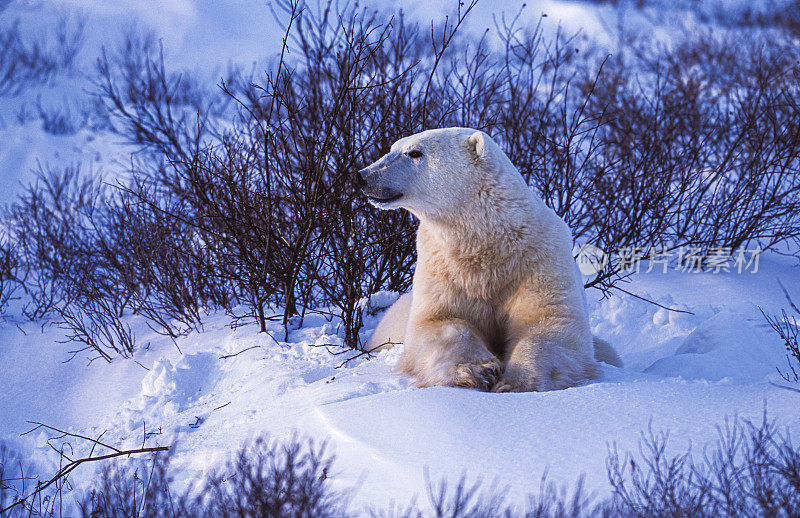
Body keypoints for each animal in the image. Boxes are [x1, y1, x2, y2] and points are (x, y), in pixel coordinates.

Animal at [354, 128, 620, 392]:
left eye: (414, 152)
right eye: (392, 147)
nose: (363, 176)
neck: (488, 243)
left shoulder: (539, 261)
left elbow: (550, 323)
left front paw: (514, 382)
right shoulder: (443, 269)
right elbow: (440, 321)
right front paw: (478, 371)